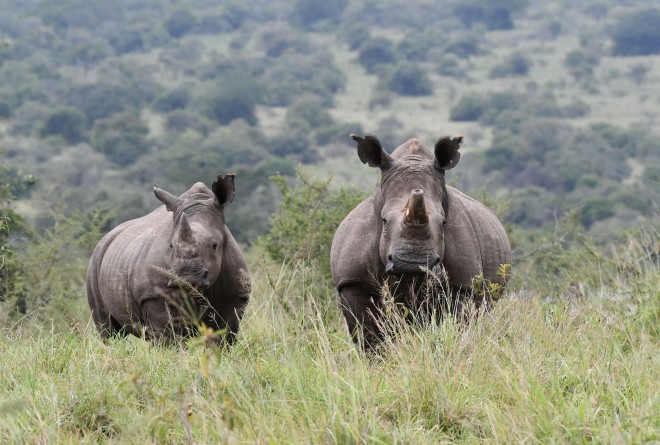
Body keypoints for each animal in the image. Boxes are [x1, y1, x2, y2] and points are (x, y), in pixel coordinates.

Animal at [87, 173, 250, 344]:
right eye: (171, 246)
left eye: (215, 245)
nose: (187, 278)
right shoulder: (155, 296)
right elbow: (168, 338)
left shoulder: (236, 295)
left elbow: (223, 335)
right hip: (96, 259)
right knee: (108, 328)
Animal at [332, 135, 512, 346]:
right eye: (384, 221)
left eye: (443, 222)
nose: (412, 262)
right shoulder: (353, 281)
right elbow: (368, 336)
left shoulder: (462, 285)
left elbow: (455, 325)